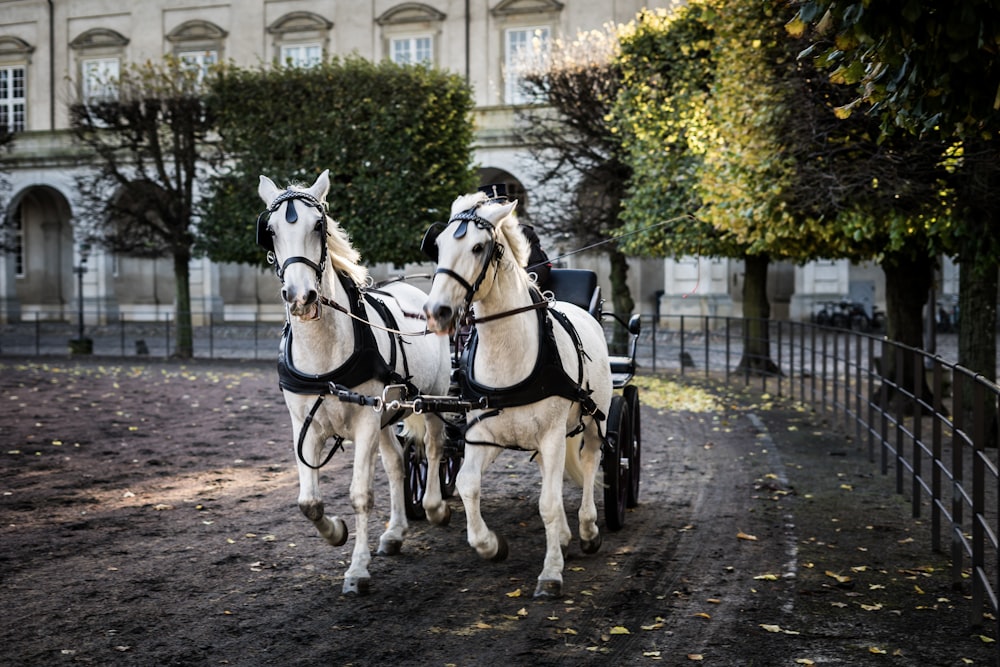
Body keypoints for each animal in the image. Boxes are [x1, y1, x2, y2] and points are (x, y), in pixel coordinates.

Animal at [256, 171, 452, 596]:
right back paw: (395, 533)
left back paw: (434, 507)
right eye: (271, 231)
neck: (324, 355)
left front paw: (357, 569)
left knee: (433, 448)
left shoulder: (364, 422)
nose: (300, 297)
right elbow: (308, 501)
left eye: (319, 226)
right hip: (386, 415)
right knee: (396, 464)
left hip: (433, 399)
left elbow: (361, 494)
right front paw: (336, 532)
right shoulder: (305, 426)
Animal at [420, 192, 608, 596]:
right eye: (438, 245)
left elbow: (548, 503)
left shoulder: (553, 434)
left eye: (478, 247)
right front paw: (490, 545)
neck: (508, 354)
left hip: (592, 418)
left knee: (589, 462)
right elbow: (467, 484)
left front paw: (551, 573)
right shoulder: (482, 435)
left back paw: (587, 528)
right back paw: (566, 535)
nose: (436, 311)